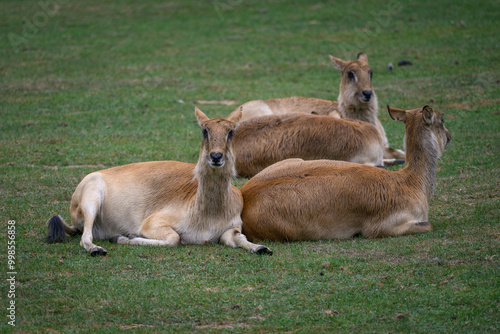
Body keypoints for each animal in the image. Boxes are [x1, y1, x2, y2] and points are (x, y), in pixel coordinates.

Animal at [46, 107, 274, 256]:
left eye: (231, 131)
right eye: (204, 130)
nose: (216, 156)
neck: (208, 215)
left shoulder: (231, 228)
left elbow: (238, 238)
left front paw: (262, 248)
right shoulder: (154, 222)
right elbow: (174, 239)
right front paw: (123, 237)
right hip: (91, 199)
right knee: (85, 237)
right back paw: (98, 249)